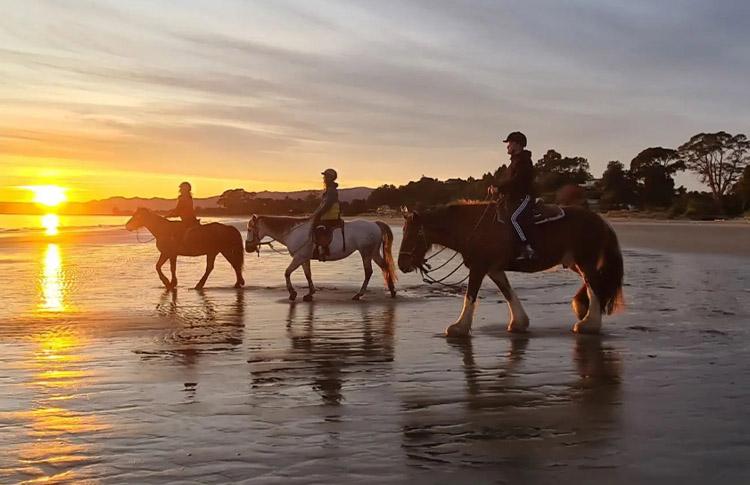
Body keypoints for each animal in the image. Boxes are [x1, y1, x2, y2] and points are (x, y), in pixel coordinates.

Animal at [245, 215, 400, 300]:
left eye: (249, 229)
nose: (247, 248)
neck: (293, 232)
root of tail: (374, 224)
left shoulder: (299, 258)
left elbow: (287, 273)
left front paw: (292, 293)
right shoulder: (304, 259)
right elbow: (308, 275)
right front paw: (310, 293)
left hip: (366, 253)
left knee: (368, 272)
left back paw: (359, 295)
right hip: (373, 253)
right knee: (384, 266)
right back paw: (392, 291)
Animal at [402, 202, 624, 334]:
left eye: (412, 234)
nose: (402, 264)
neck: (473, 227)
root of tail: (601, 220)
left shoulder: (479, 267)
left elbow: (470, 295)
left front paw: (459, 327)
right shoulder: (494, 269)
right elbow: (508, 292)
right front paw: (519, 322)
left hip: (585, 261)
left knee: (595, 284)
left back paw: (589, 323)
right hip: (575, 263)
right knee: (594, 282)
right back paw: (583, 310)